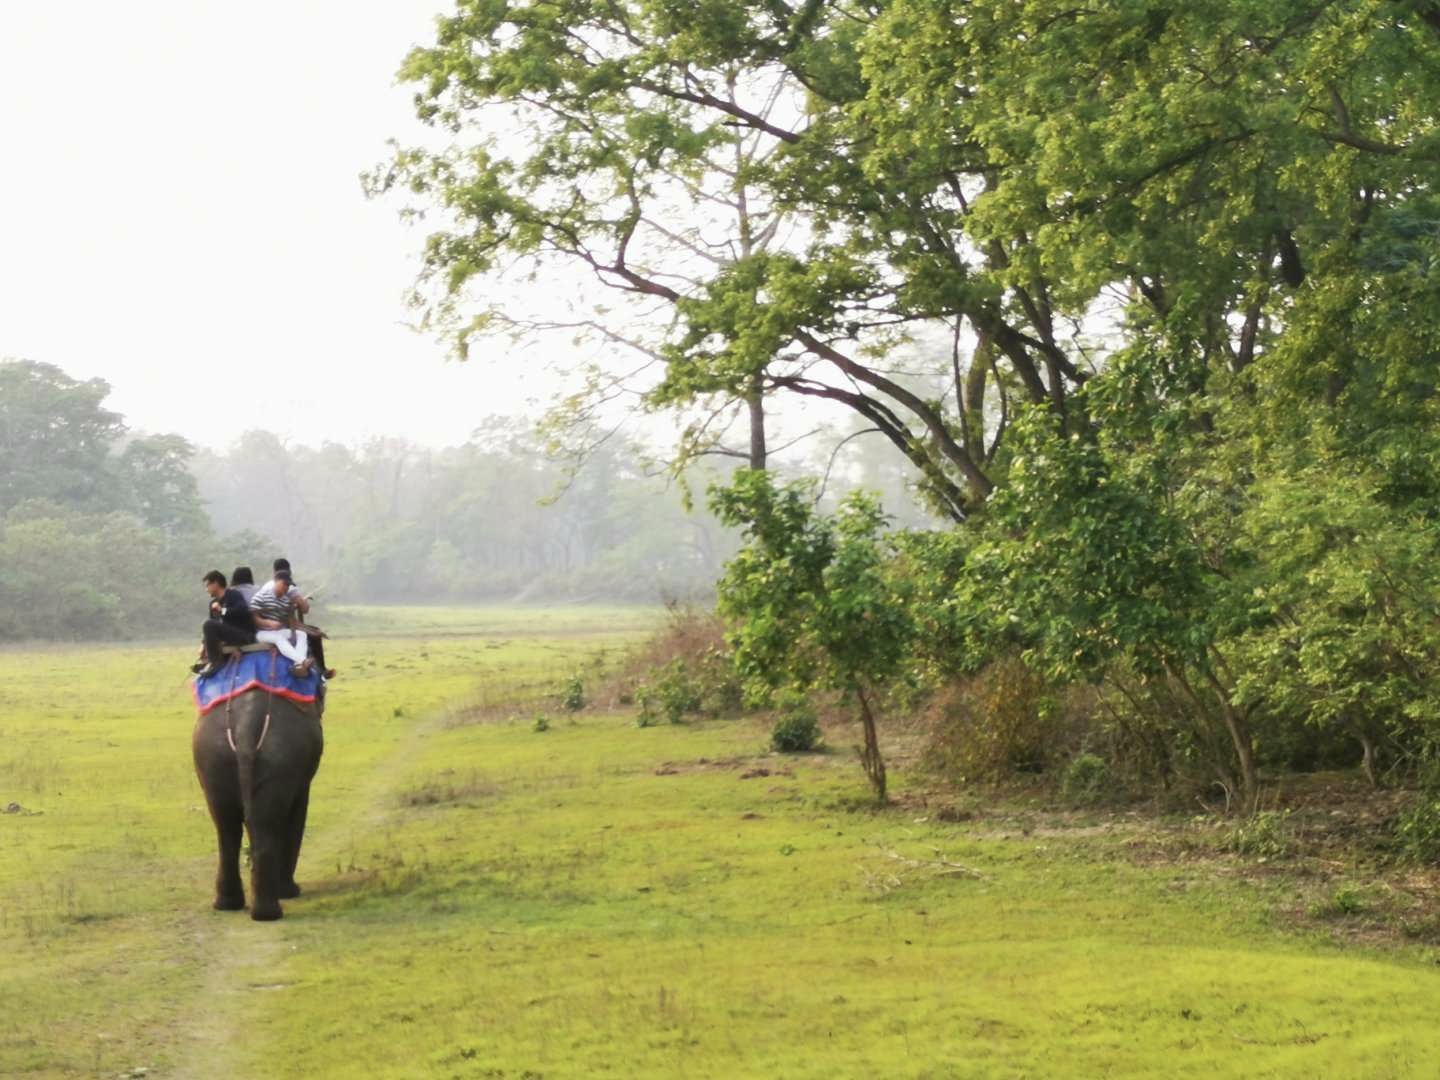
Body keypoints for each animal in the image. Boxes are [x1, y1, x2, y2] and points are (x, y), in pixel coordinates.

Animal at [191, 685, 324, 921]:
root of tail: (247, 722)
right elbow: (298, 810)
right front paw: (291, 893)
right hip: (280, 757)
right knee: (265, 823)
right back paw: (270, 911)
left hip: (212, 757)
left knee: (227, 825)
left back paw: (229, 905)